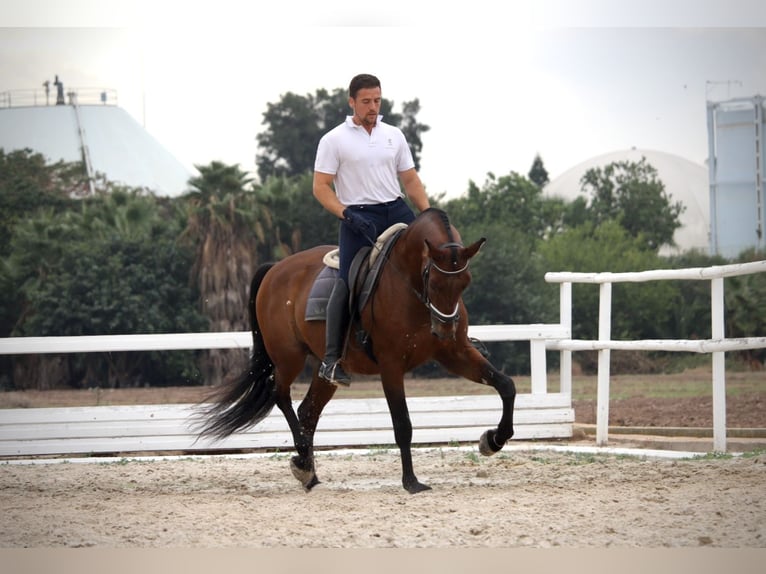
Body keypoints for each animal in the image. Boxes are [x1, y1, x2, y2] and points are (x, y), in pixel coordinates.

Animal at [195, 207, 516, 494]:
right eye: (433, 280)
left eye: (465, 283)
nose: (445, 329)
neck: (408, 282)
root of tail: (275, 268)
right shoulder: (391, 365)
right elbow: (402, 423)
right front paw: (411, 482)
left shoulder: (454, 353)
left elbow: (505, 385)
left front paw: (493, 440)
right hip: (288, 358)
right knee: (281, 396)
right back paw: (303, 461)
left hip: (326, 369)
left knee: (307, 410)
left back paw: (309, 473)